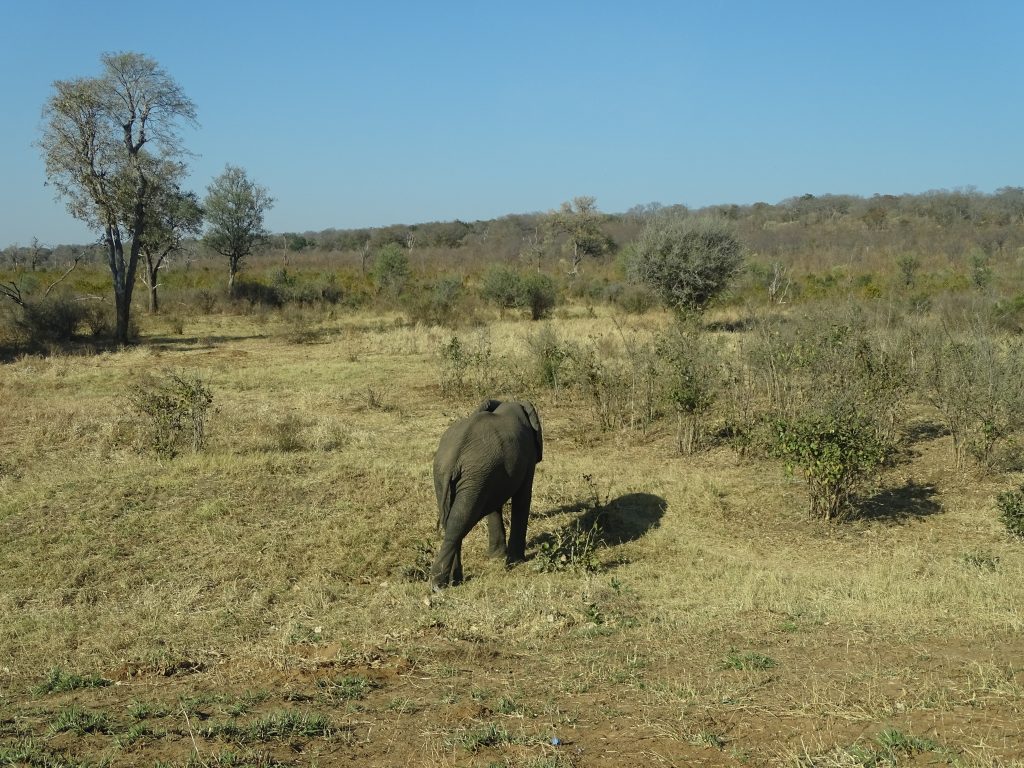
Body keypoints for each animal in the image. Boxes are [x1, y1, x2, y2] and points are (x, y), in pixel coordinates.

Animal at [429, 399, 543, 589]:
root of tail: (454, 457)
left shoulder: (492, 474)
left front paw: (497, 557)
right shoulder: (528, 457)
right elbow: (522, 498)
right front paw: (515, 562)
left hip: (454, 473)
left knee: (453, 521)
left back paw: (452, 580)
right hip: (471, 473)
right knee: (460, 520)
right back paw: (440, 584)